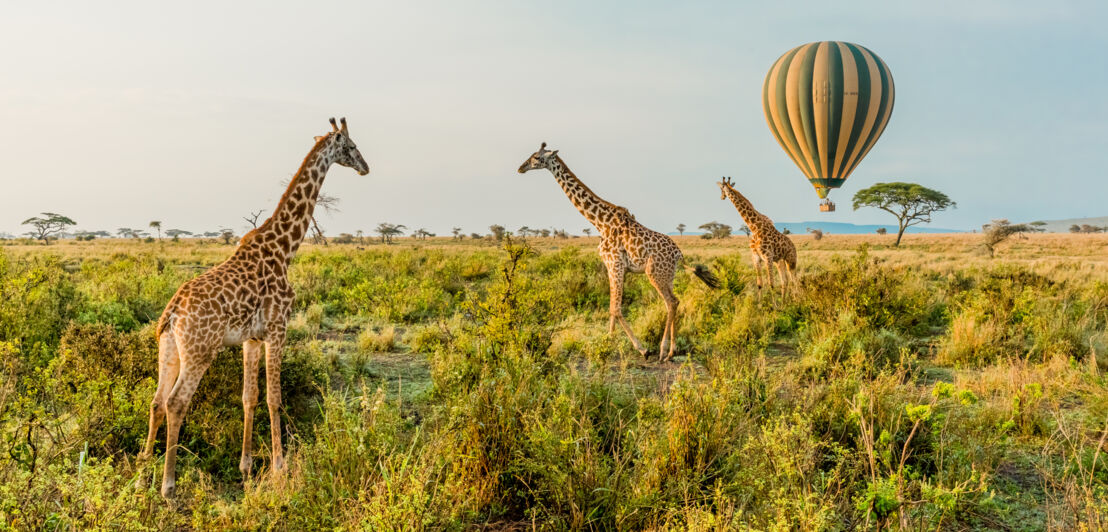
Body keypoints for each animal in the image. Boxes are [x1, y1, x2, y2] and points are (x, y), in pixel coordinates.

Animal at [137, 117, 372, 498]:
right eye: (351, 146)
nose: (366, 167)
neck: (285, 249)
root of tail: (172, 313)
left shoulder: (251, 338)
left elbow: (249, 396)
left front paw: (246, 466)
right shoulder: (279, 328)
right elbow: (275, 397)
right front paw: (279, 467)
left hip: (168, 348)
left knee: (157, 401)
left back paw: (144, 468)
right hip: (200, 352)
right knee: (175, 403)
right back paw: (168, 486)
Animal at [518, 141, 717, 361]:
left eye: (536, 158)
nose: (521, 168)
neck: (599, 222)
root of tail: (679, 254)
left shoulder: (615, 263)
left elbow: (616, 308)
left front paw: (641, 348)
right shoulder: (612, 266)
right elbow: (612, 308)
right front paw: (608, 341)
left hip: (654, 273)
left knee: (672, 302)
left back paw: (663, 351)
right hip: (668, 276)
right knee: (673, 302)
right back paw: (672, 351)